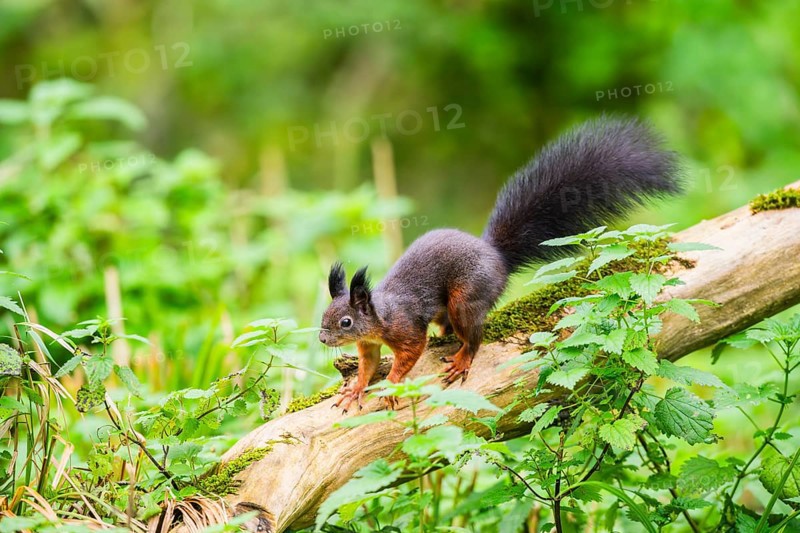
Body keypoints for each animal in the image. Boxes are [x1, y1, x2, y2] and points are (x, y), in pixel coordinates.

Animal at [319, 116, 681, 411]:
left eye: (346, 322)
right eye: (325, 316)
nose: (322, 339)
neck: (379, 315)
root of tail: (496, 256)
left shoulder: (405, 328)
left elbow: (410, 353)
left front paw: (393, 383)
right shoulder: (368, 346)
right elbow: (367, 366)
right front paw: (356, 389)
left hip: (465, 298)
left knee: (473, 336)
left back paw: (463, 358)